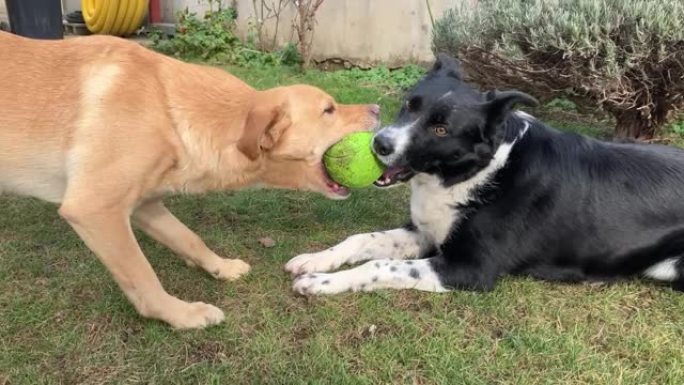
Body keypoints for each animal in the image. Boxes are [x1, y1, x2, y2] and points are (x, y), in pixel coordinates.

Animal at [0, 31, 380, 328]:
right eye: (328, 109)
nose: (378, 108)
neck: (166, 108)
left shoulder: (144, 204)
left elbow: (189, 238)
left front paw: (221, 268)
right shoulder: (95, 209)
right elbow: (143, 276)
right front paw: (181, 315)